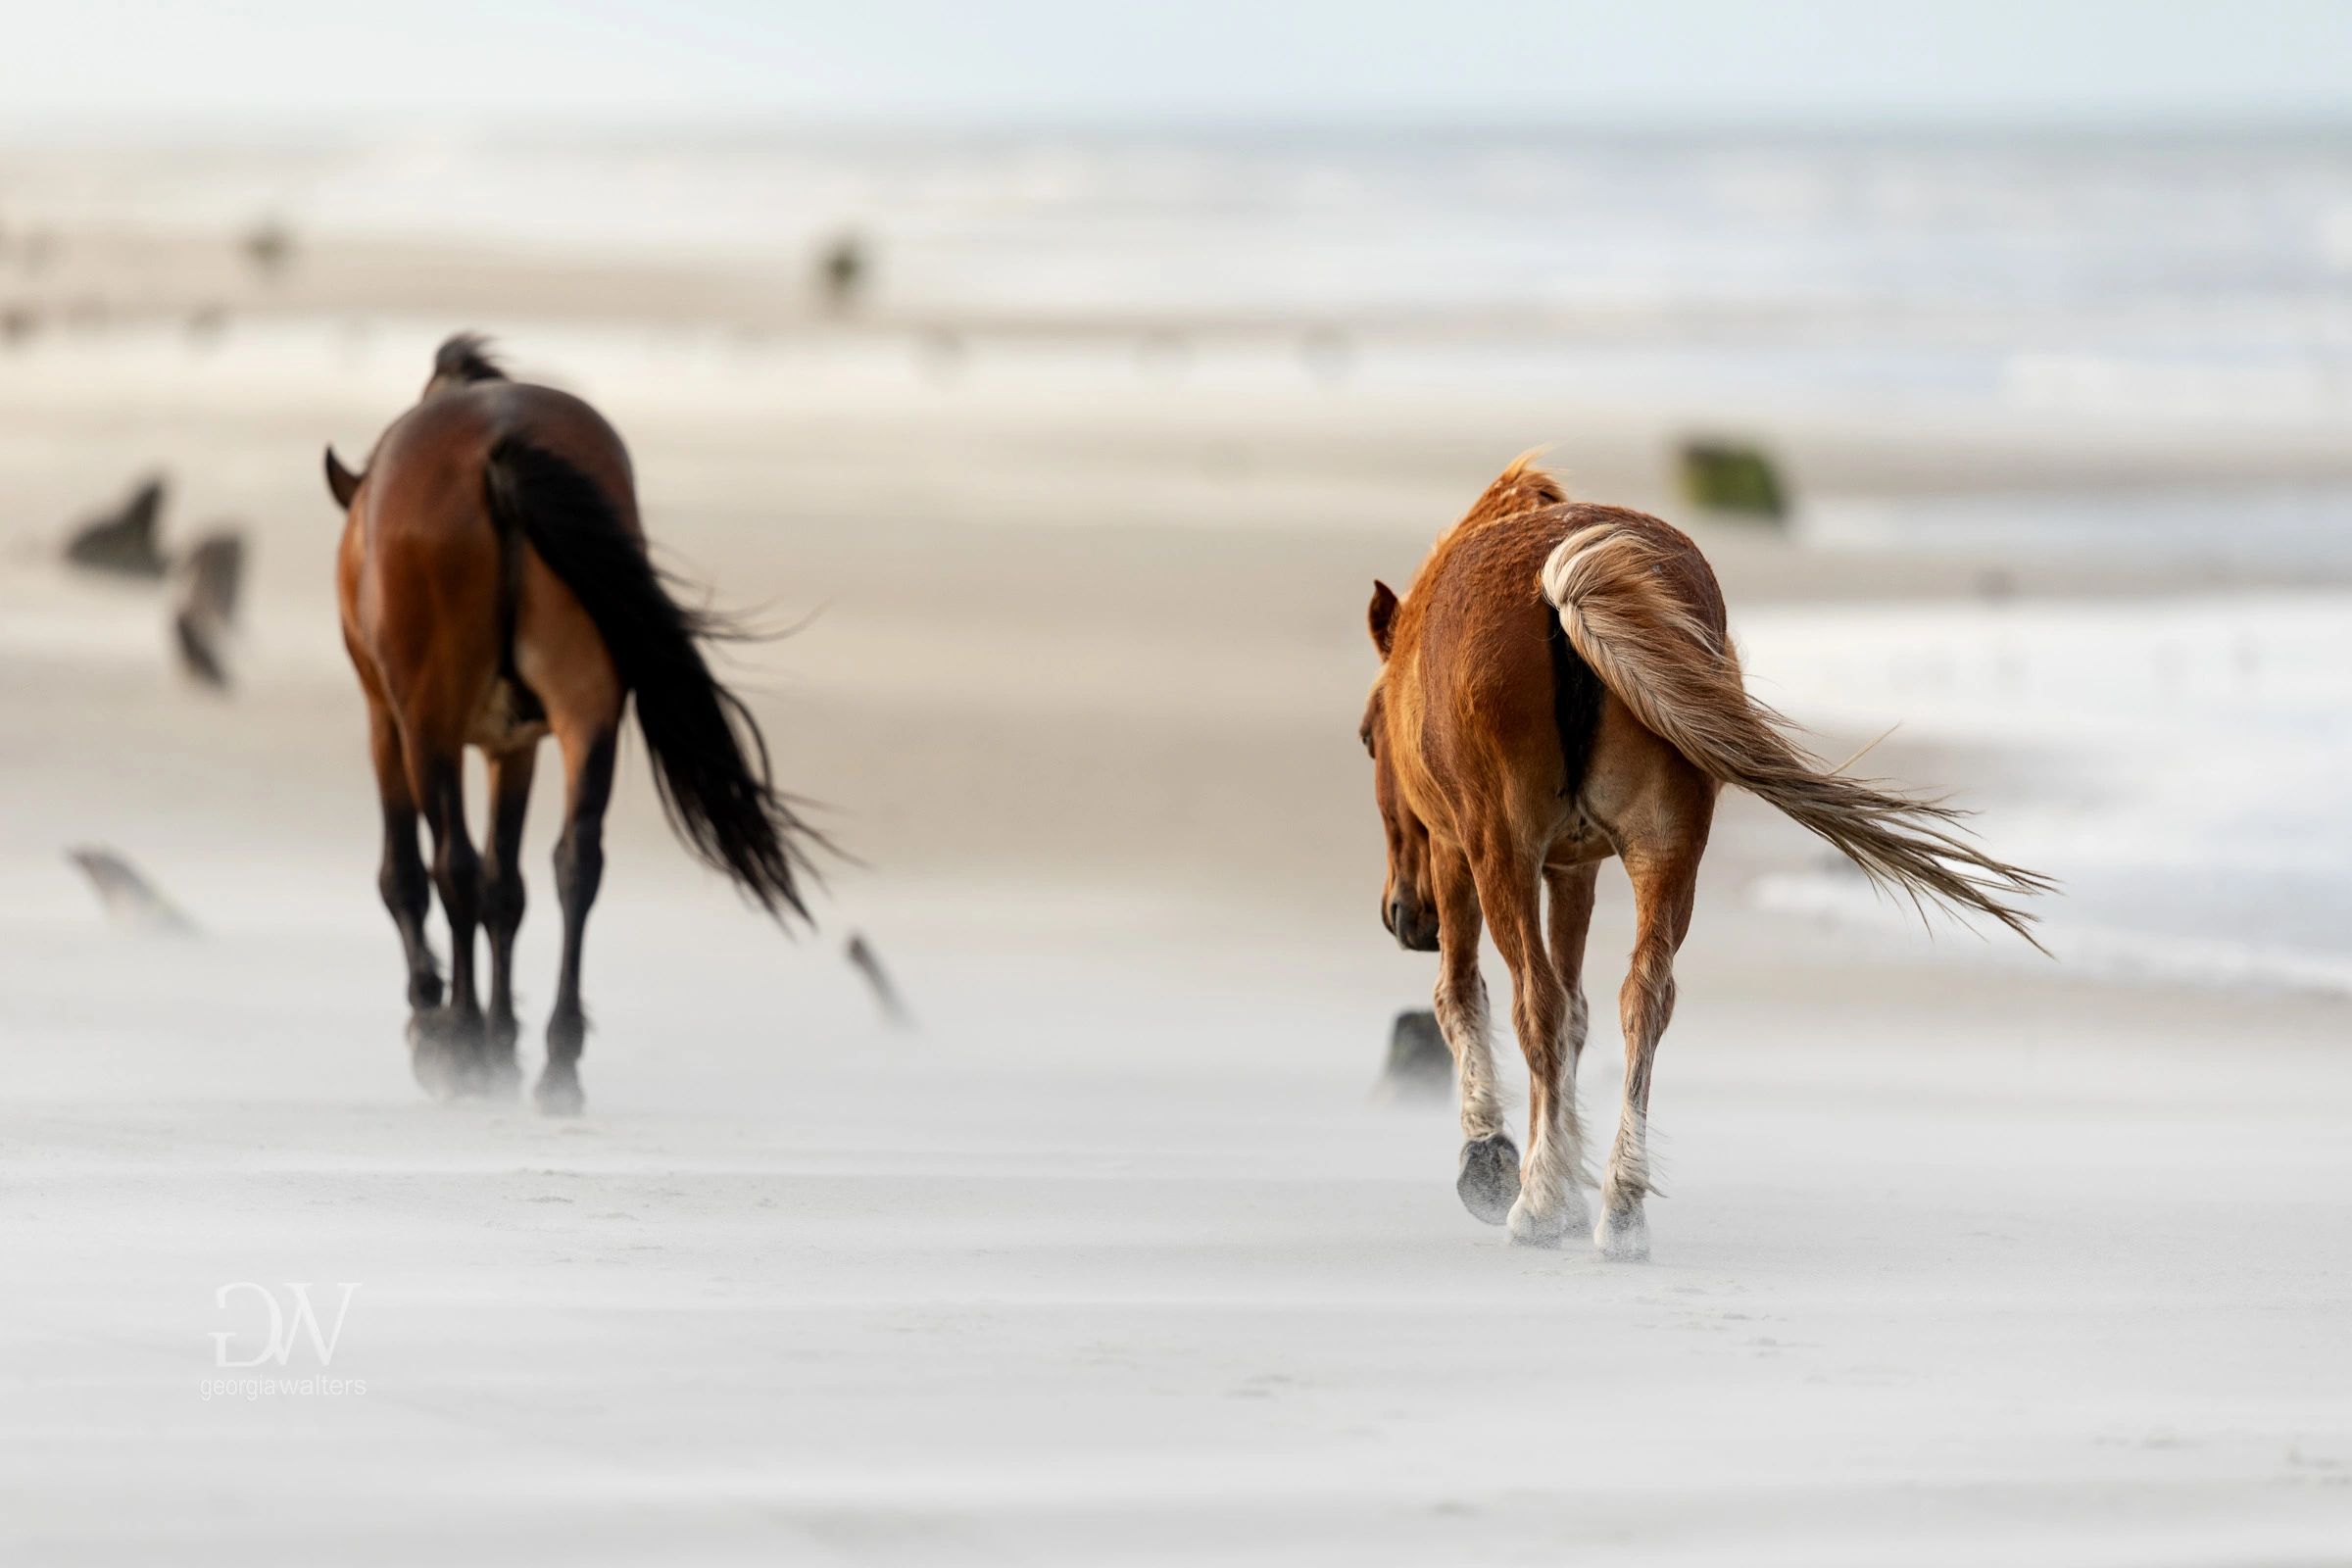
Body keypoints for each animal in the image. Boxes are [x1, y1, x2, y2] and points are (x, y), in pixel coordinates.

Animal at [328, 334, 818, 1114]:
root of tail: (495, 448)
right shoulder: (515, 747)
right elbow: (507, 887)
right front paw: (503, 1041)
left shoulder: (388, 722)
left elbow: (407, 875)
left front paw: (442, 1025)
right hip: (587, 711)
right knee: (574, 861)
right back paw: (556, 1062)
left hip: (430, 720)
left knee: (451, 864)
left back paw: (462, 1042)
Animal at [1361, 454, 2049, 1258]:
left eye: (1367, 737)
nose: (1404, 916)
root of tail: (1555, 583)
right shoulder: (1575, 868)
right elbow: (1577, 1014)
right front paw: (1562, 1184)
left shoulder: (1459, 852)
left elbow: (1465, 997)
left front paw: (1495, 1165)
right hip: (1667, 852)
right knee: (1642, 999)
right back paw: (1622, 1210)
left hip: (1503, 853)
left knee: (1536, 1001)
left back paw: (1535, 1204)